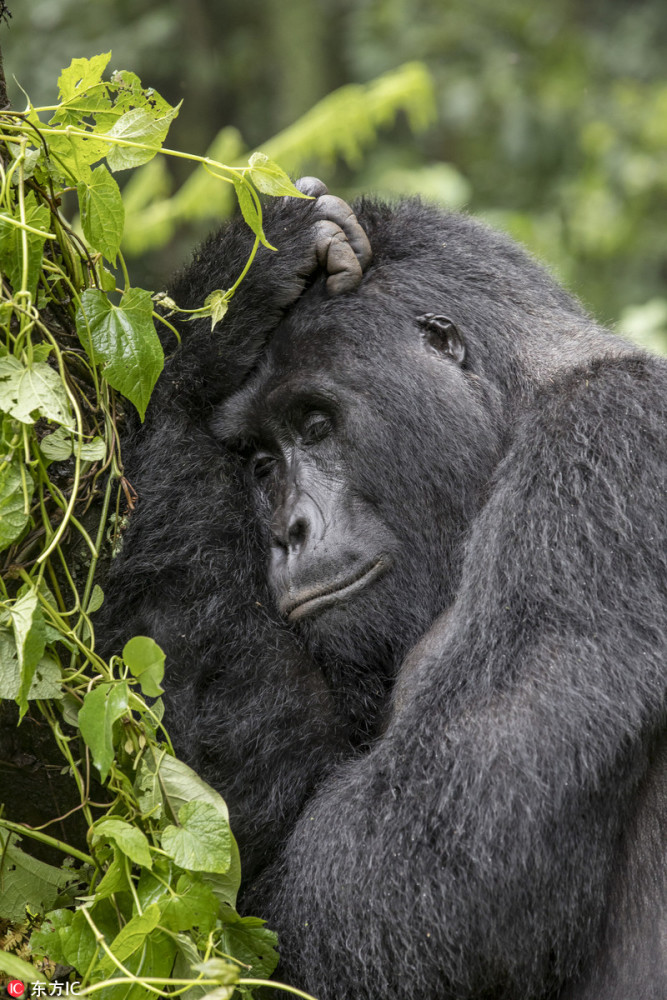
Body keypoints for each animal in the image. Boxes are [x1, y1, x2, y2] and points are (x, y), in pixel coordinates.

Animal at [100, 180, 667, 1000]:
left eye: (315, 424)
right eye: (261, 465)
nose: (290, 532)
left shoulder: (606, 453)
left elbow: (399, 880)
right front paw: (212, 322)